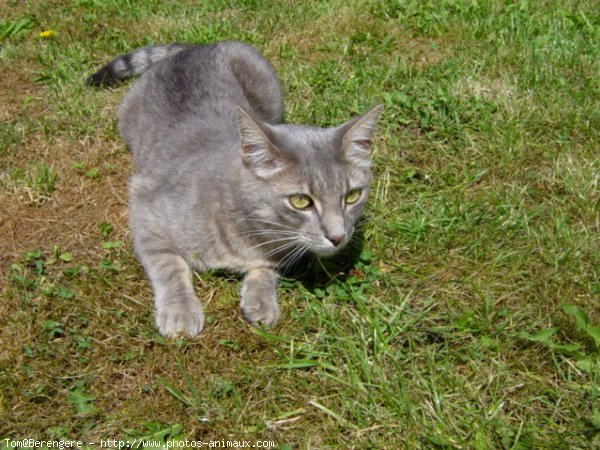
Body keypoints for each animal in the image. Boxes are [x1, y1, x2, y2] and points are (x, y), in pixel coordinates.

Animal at [86, 40, 382, 338]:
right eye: (301, 201)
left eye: (352, 196)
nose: (338, 237)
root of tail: (198, 47)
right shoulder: (145, 208)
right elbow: (168, 264)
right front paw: (180, 310)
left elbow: (266, 268)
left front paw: (260, 299)